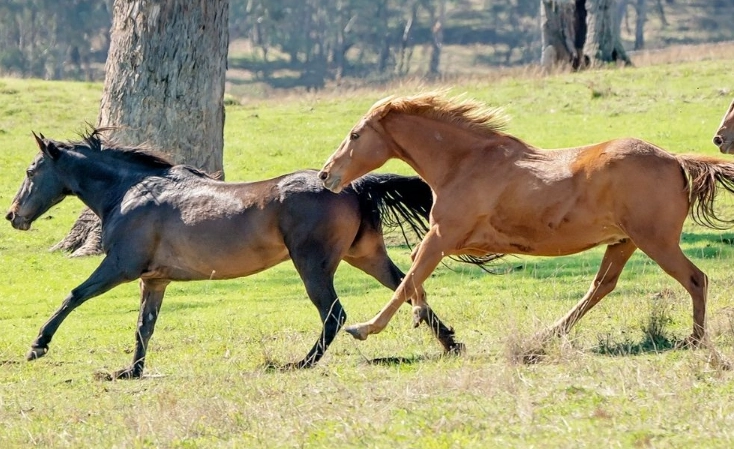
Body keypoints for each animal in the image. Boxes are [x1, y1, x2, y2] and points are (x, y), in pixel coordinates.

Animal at [5, 128, 463, 379]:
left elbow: (74, 295)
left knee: (334, 314)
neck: (130, 191)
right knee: (407, 288)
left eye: (30, 171)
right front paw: (129, 372)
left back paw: (298, 363)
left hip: (313, 265)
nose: (12, 215)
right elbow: (144, 327)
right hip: (365, 256)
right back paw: (451, 344)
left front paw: (37, 346)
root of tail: (351, 185)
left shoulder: (121, 266)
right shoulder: (154, 279)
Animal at [318, 91, 734, 348]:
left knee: (696, 280)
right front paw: (422, 314)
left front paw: (365, 328)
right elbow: (413, 270)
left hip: (656, 242)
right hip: (623, 242)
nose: (325, 175)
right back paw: (546, 336)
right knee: (601, 286)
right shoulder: (451, 239)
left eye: (355, 135)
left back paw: (696, 340)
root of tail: (676, 160)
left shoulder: (444, 235)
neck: (464, 163)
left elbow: (409, 277)